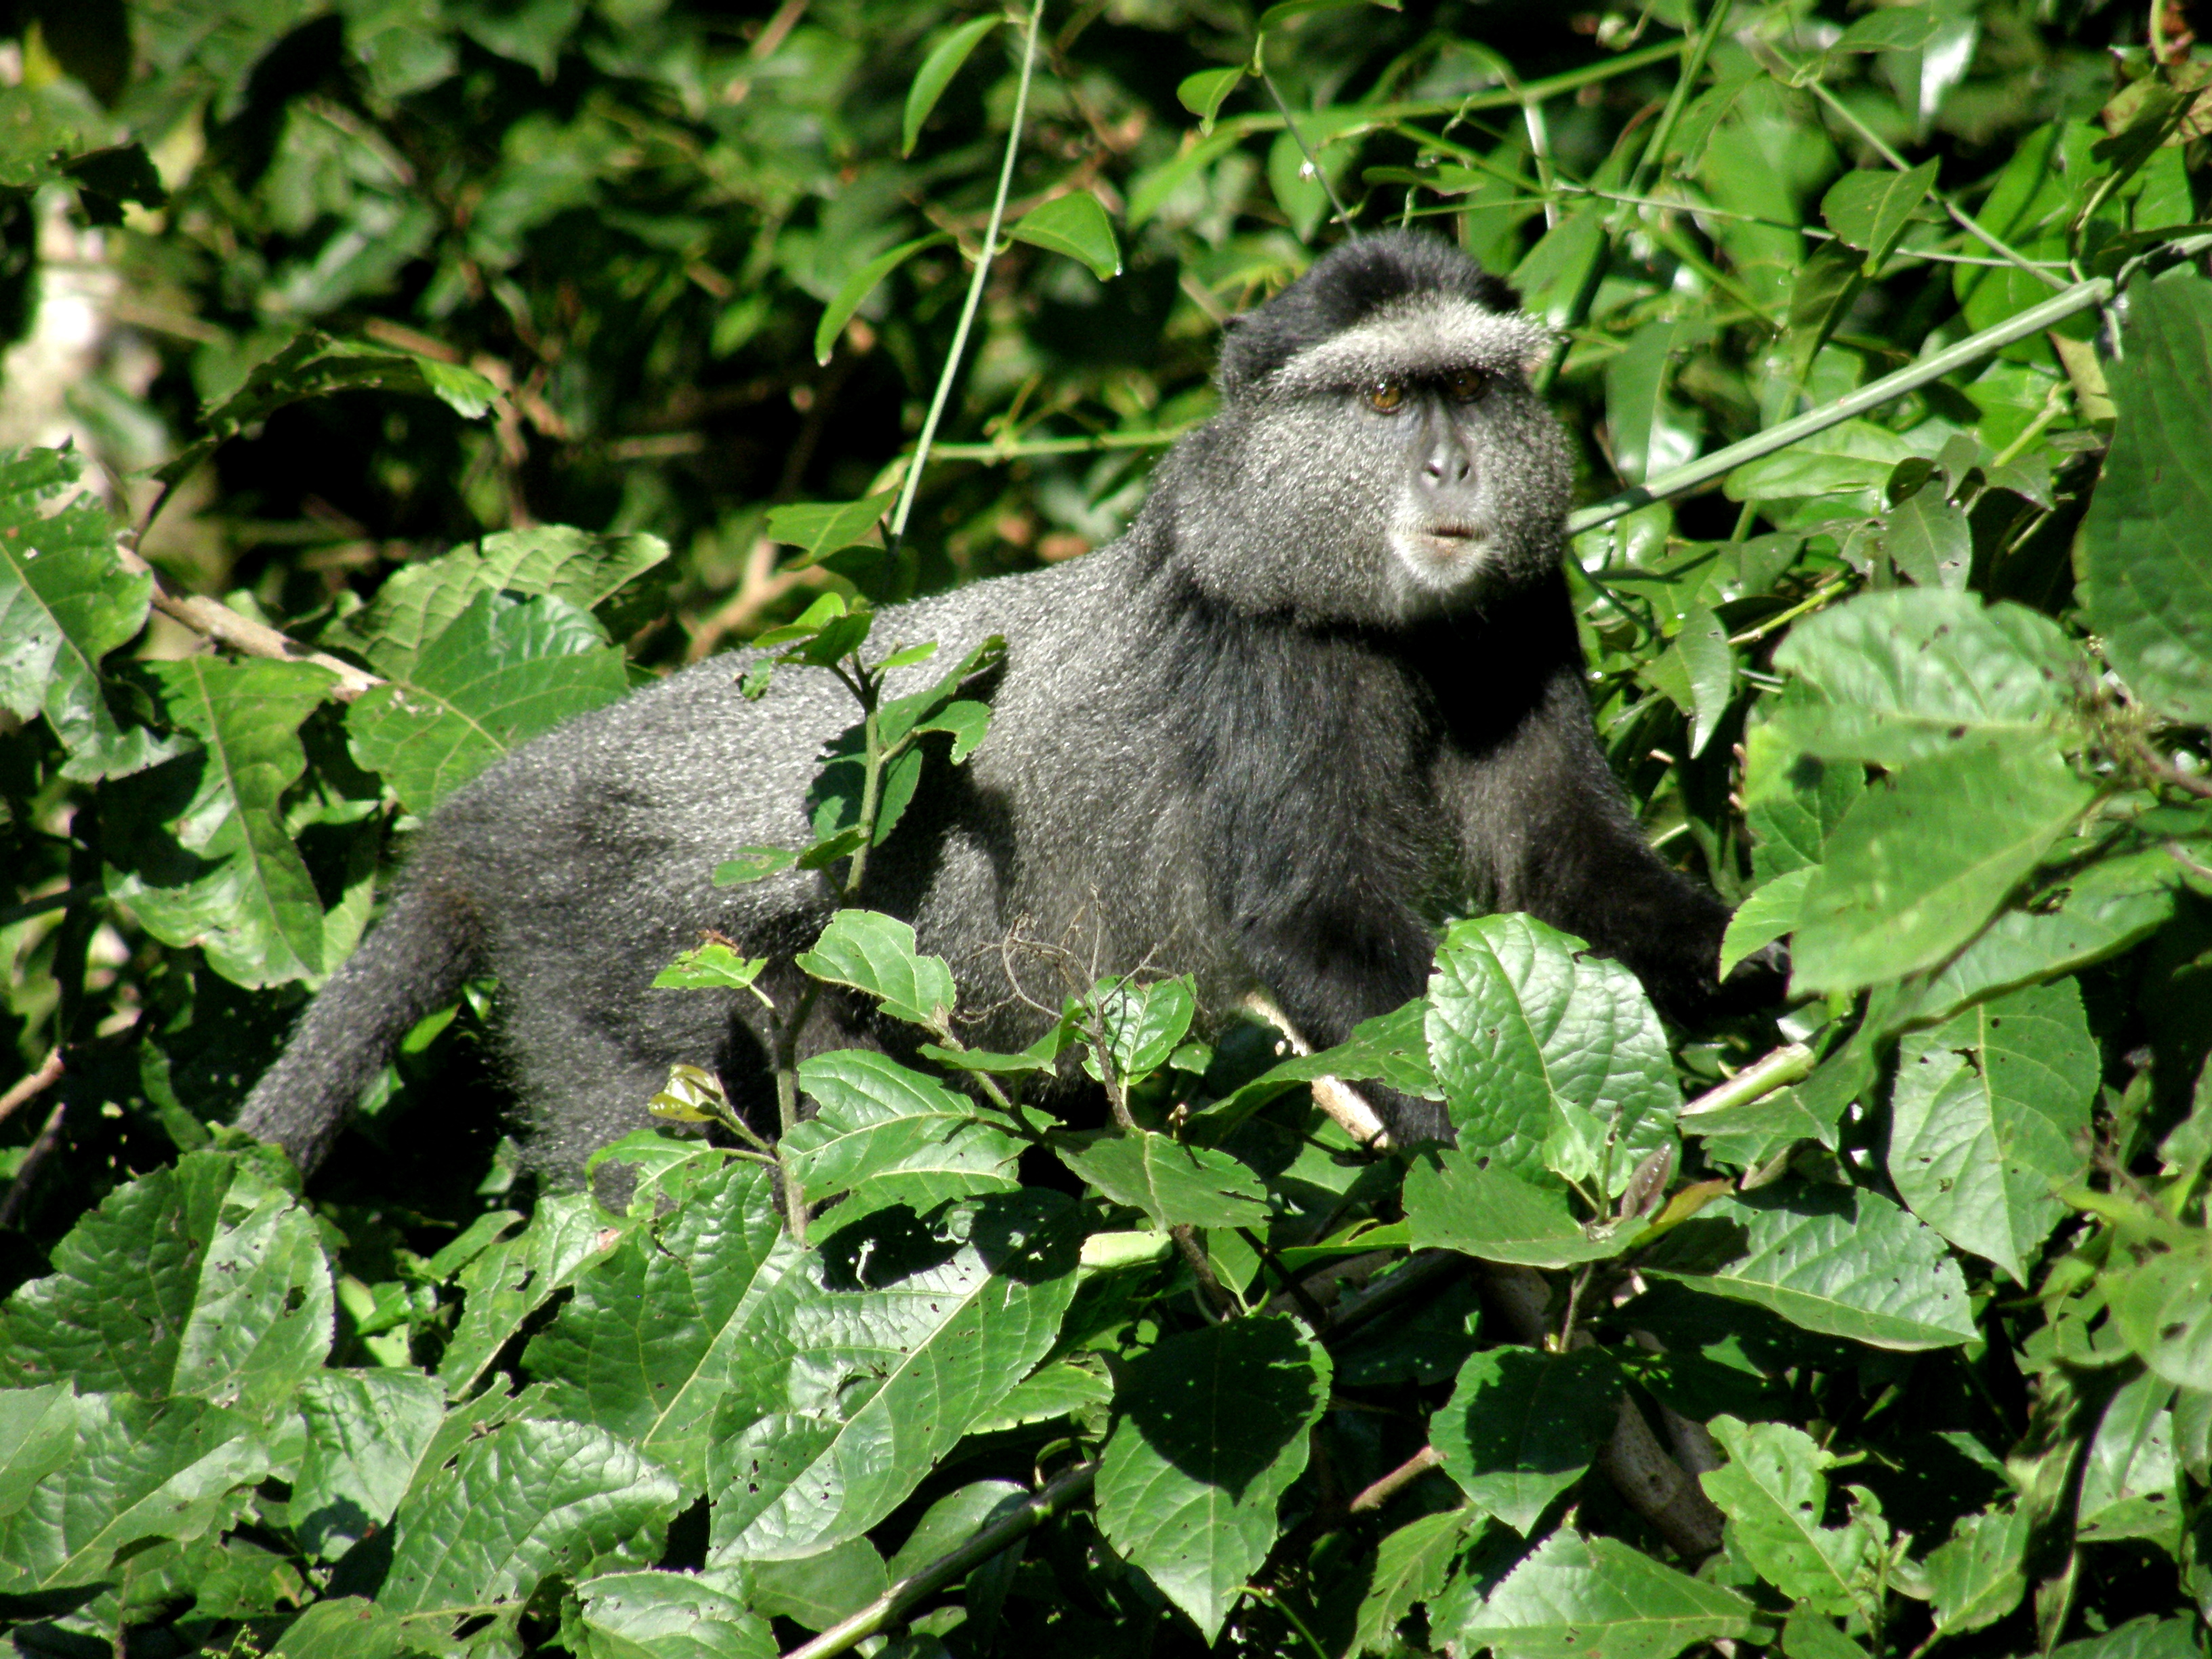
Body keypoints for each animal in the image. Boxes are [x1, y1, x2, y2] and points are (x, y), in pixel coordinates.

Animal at [239, 230, 1758, 1178]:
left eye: (1472, 388)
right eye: (1387, 399)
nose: (1453, 469)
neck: (1388, 616)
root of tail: (498, 807)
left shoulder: (1518, 613)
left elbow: (1563, 863)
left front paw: (1762, 964)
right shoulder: (1260, 648)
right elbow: (1310, 921)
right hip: (627, 973)